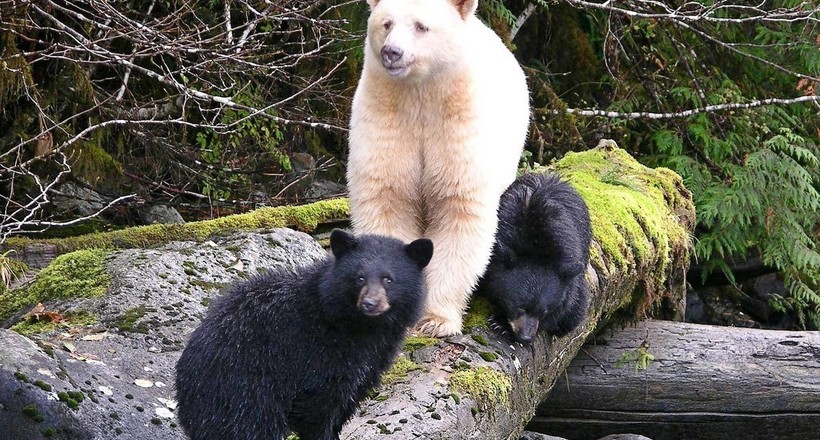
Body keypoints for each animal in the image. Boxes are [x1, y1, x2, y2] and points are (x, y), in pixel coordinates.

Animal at [348, 0, 532, 336]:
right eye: (386, 23)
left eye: (421, 26)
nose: (392, 52)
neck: (421, 91)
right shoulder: (386, 117)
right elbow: (388, 198)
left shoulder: (459, 125)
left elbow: (458, 209)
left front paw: (435, 319)